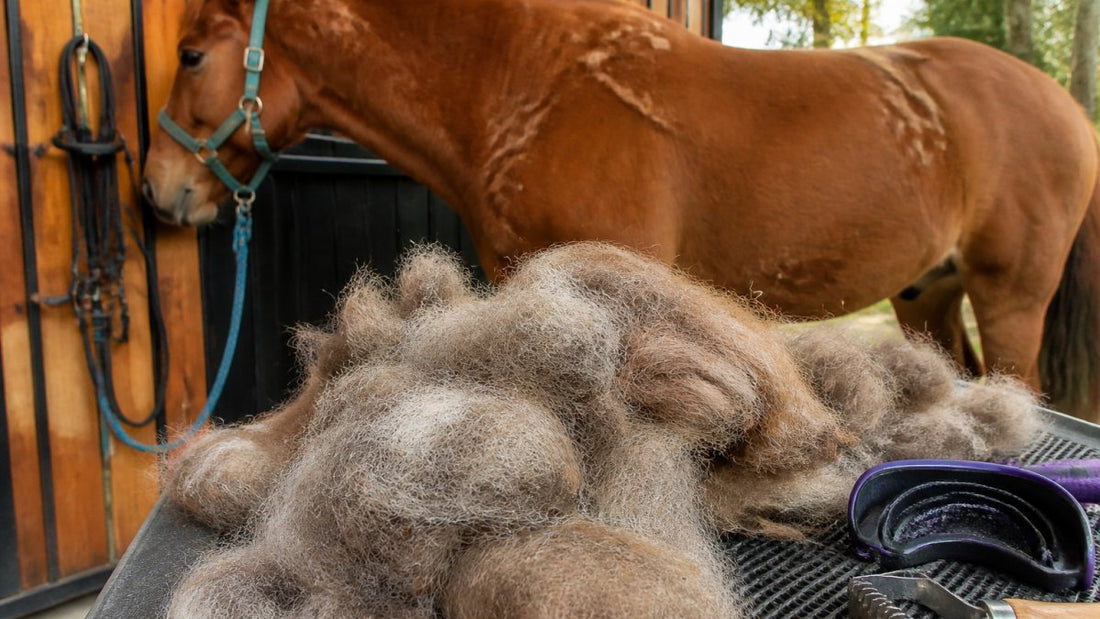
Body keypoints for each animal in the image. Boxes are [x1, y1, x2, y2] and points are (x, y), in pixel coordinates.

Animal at [141, 0, 1100, 420]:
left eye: (189, 53)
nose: (156, 190)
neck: (531, 86)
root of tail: (1064, 105)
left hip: (1009, 295)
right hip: (928, 294)